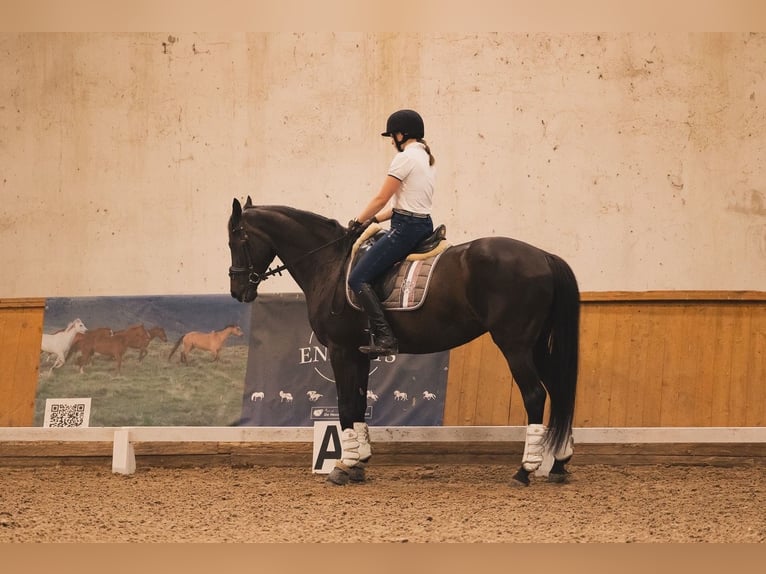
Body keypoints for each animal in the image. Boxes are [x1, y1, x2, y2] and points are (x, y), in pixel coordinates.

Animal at [228, 197, 584, 486]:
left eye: (236, 238)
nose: (237, 291)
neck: (329, 264)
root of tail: (542, 256)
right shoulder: (359, 353)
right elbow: (358, 404)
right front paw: (359, 463)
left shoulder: (341, 351)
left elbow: (345, 406)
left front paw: (343, 465)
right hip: (536, 346)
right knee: (559, 391)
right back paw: (558, 464)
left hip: (515, 345)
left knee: (535, 395)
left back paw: (524, 471)